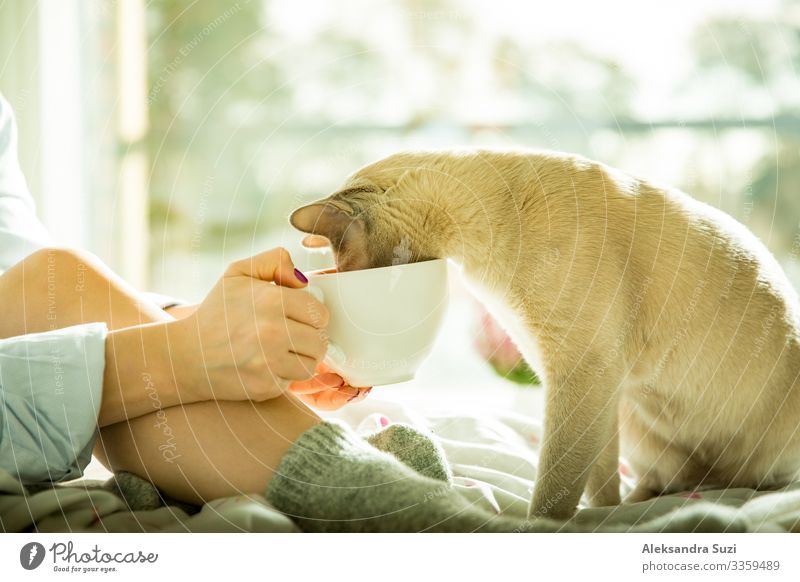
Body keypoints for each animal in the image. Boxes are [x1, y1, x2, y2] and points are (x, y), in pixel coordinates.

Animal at [290, 149, 800, 520]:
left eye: (344, 266)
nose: (340, 281)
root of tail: (726, 480)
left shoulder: (582, 374)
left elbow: (556, 486)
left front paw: (546, 524)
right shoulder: (589, 385)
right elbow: (596, 480)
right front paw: (600, 517)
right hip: (633, 413)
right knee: (671, 480)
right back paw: (642, 503)